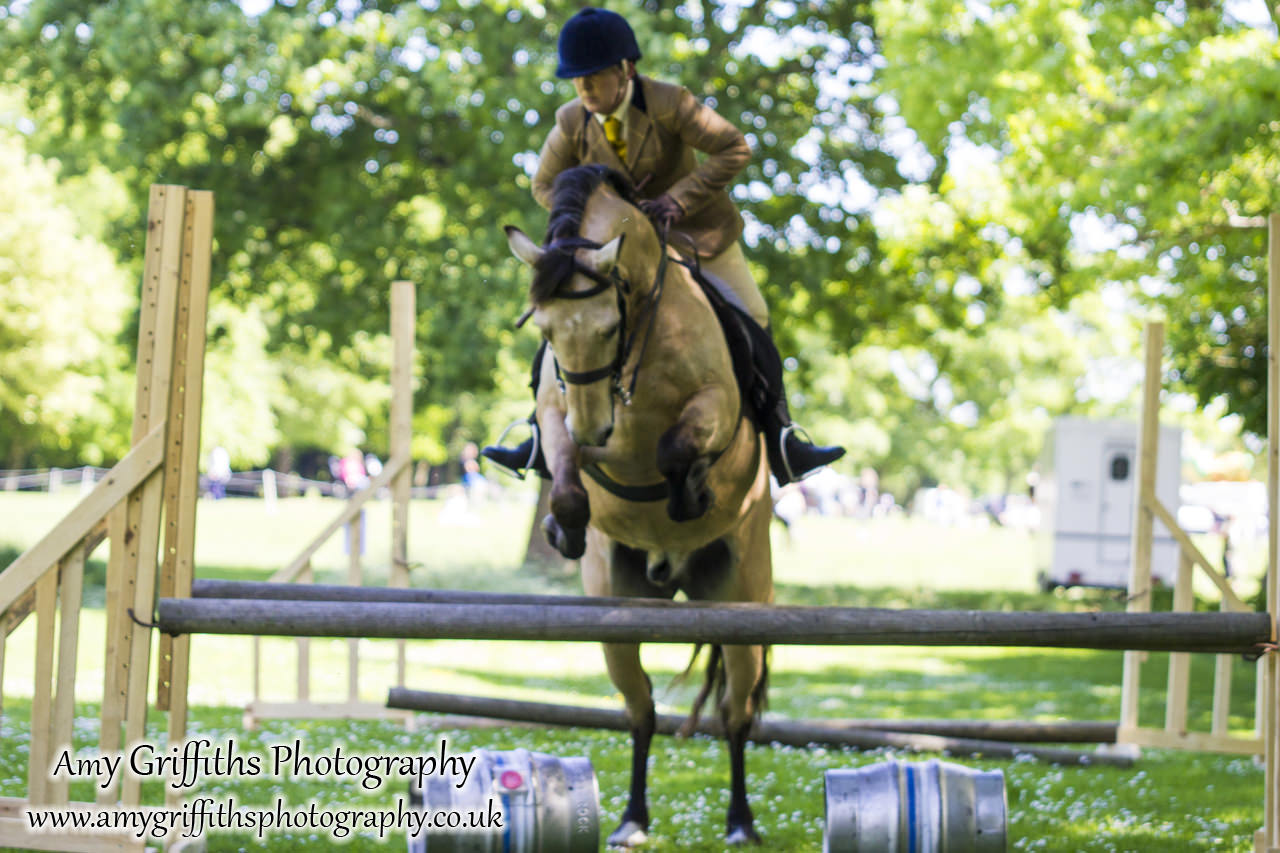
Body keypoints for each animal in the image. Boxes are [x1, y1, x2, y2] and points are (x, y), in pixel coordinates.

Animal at [504, 163, 773, 845]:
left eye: (608, 325)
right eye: (545, 331)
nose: (596, 429)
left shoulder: (717, 405)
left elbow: (681, 446)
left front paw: (691, 492)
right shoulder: (558, 412)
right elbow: (565, 475)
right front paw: (565, 528)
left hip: (743, 605)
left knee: (735, 711)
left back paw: (739, 822)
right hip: (616, 616)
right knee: (641, 708)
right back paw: (631, 818)